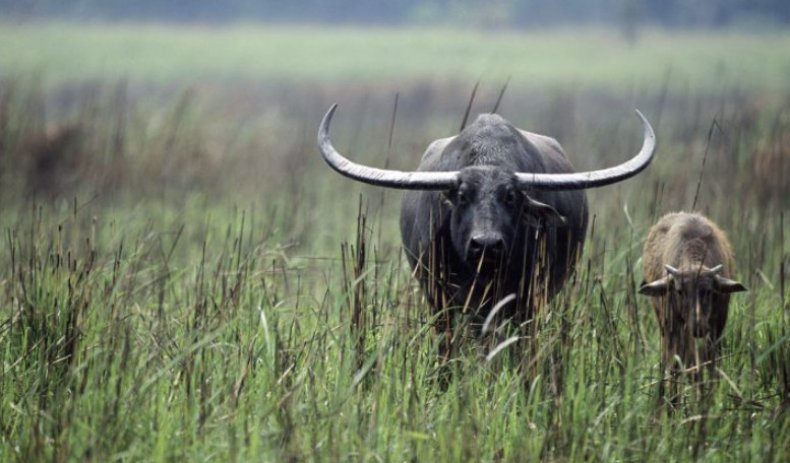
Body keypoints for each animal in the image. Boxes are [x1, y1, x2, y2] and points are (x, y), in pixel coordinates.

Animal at [640, 214, 744, 398]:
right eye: (680, 291)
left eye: (708, 291)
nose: (698, 327)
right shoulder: (674, 327)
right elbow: (678, 364)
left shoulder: (716, 328)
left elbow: (711, 364)